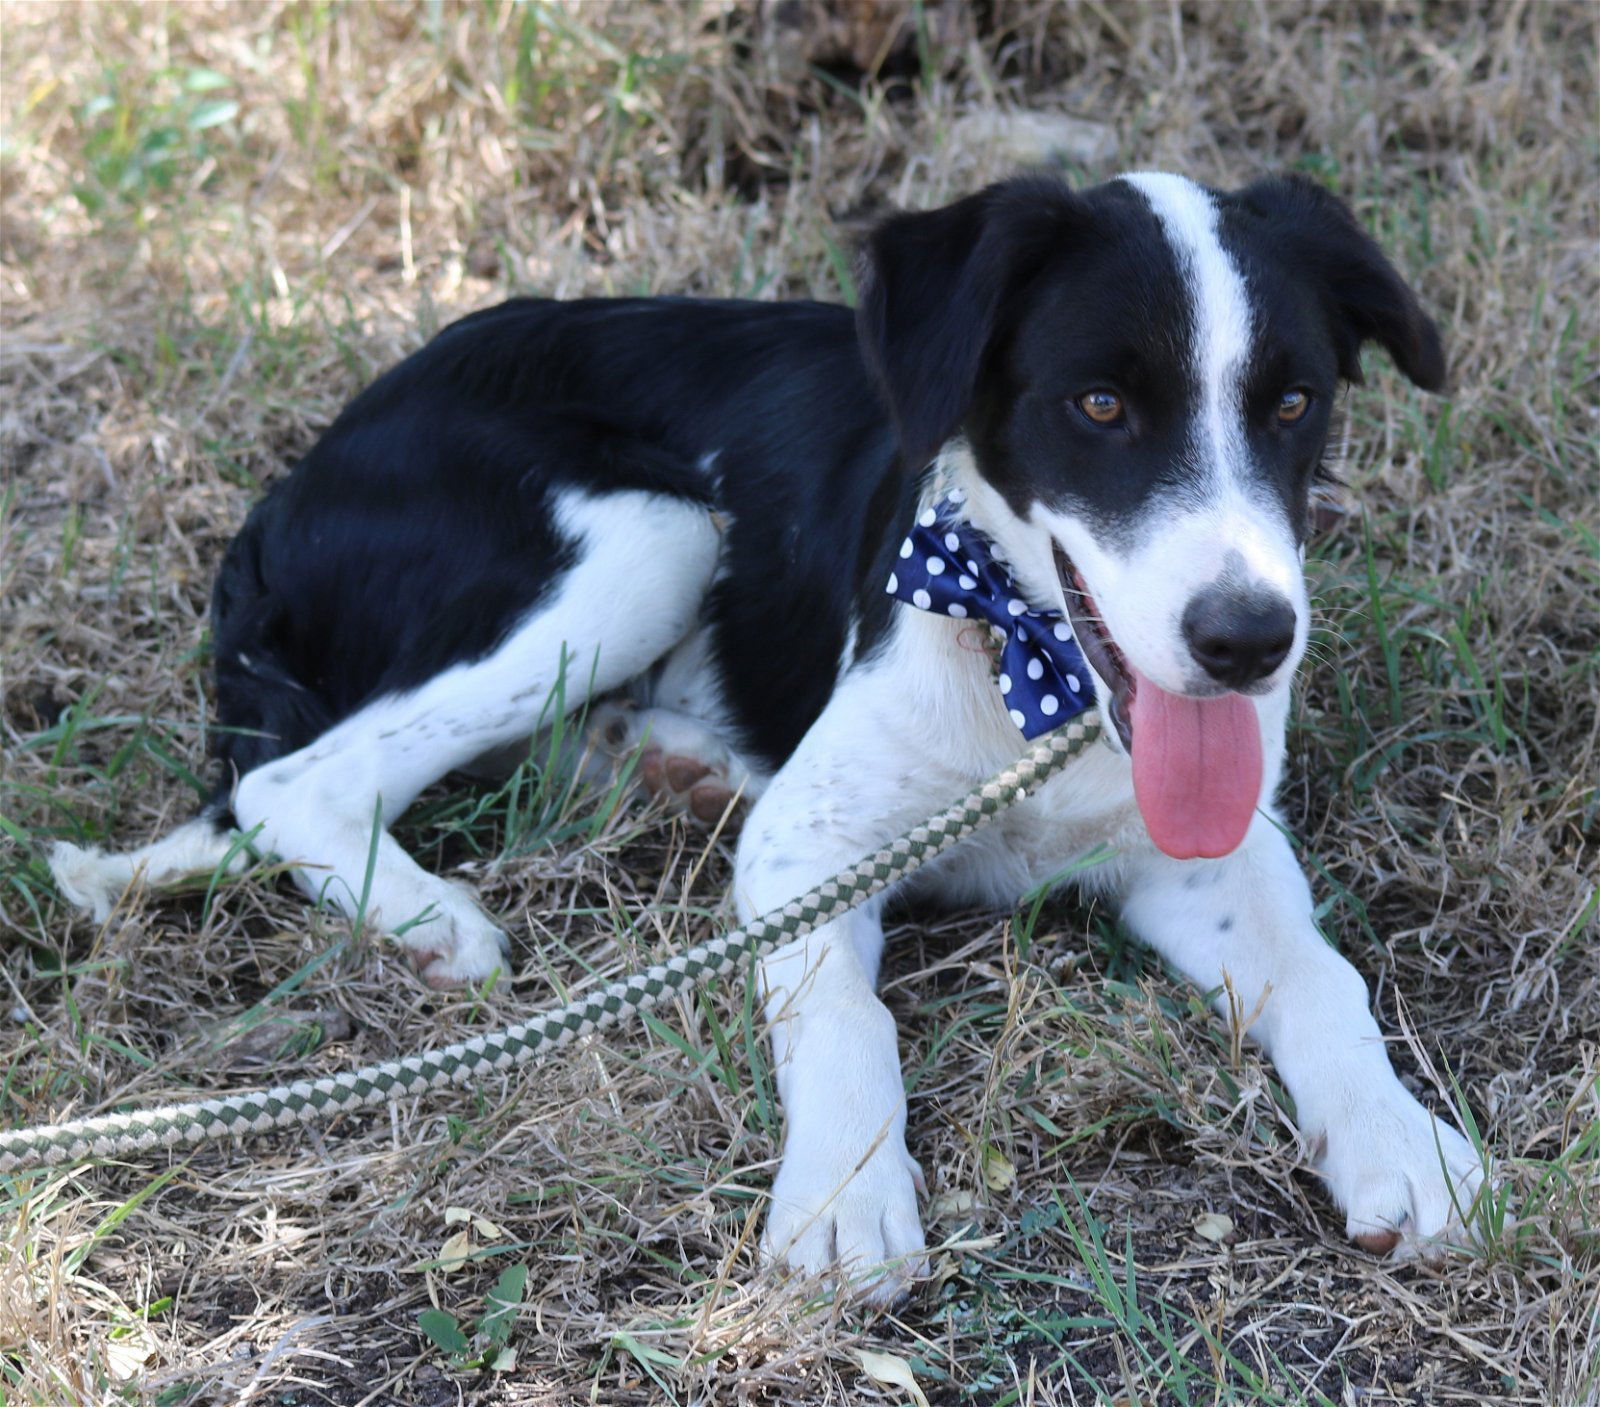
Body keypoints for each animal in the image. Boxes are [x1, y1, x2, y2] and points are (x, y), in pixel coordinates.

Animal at [53, 176, 1484, 1312]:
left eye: (1293, 404)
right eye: (1098, 405)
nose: (1249, 641)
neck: (1029, 668)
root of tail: (308, 468)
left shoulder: (1210, 862)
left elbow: (1323, 980)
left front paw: (1398, 1141)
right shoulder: (810, 849)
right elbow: (850, 1020)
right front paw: (845, 1203)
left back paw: (665, 764)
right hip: (649, 528)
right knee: (294, 779)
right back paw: (432, 920)